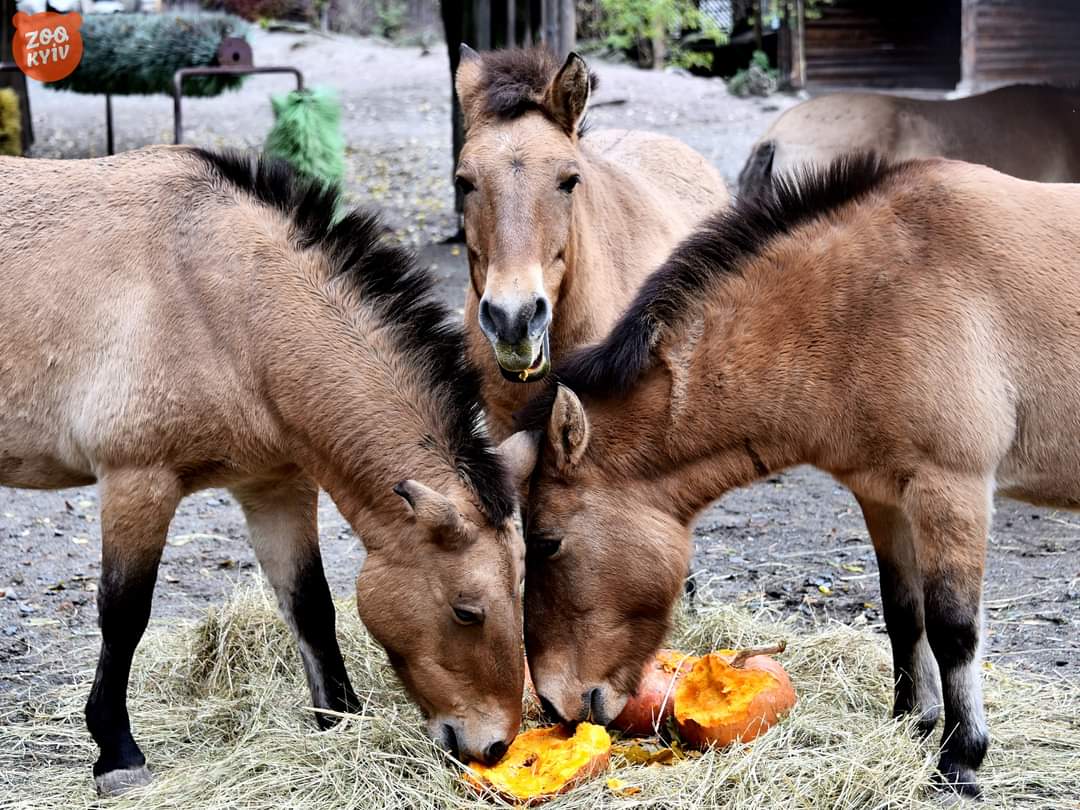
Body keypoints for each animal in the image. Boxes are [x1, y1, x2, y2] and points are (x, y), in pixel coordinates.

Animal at [0, 149, 527, 794]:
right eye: (465, 610)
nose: (495, 745)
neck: (224, 301)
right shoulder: (137, 483)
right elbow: (124, 614)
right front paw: (118, 754)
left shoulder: (276, 486)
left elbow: (310, 604)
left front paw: (340, 720)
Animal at [509, 155, 1080, 794]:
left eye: (547, 541)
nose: (554, 706)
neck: (877, 296)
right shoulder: (884, 496)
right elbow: (903, 613)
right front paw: (912, 723)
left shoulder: (950, 490)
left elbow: (953, 628)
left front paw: (961, 757)